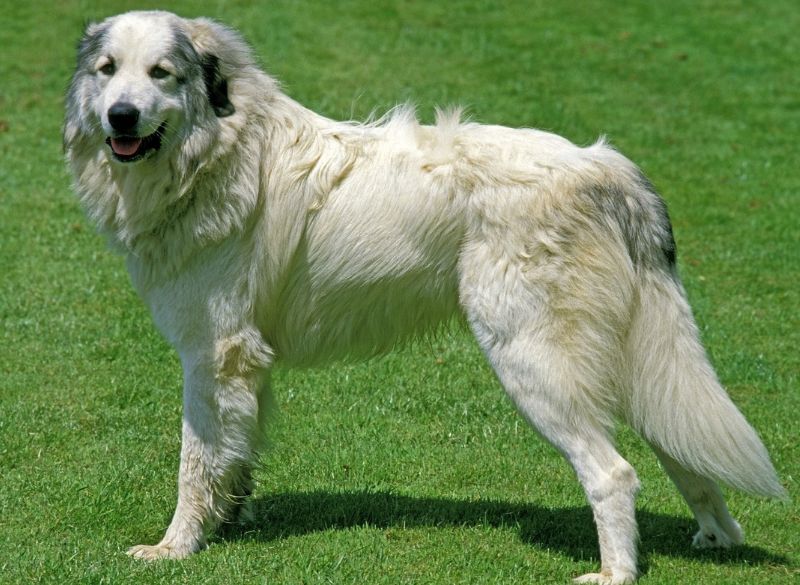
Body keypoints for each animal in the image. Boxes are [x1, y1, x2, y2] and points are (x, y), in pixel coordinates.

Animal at [64, 10, 788, 584]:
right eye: (108, 70)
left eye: (161, 73)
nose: (120, 115)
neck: (221, 151)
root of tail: (606, 168)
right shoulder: (244, 366)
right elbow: (234, 457)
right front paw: (228, 524)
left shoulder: (213, 356)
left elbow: (195, 462)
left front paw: (175, 548)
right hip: (633, 360)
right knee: (680, 444)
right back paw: (715, 536)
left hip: (533, 362)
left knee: (613, 473)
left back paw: (615, 573)